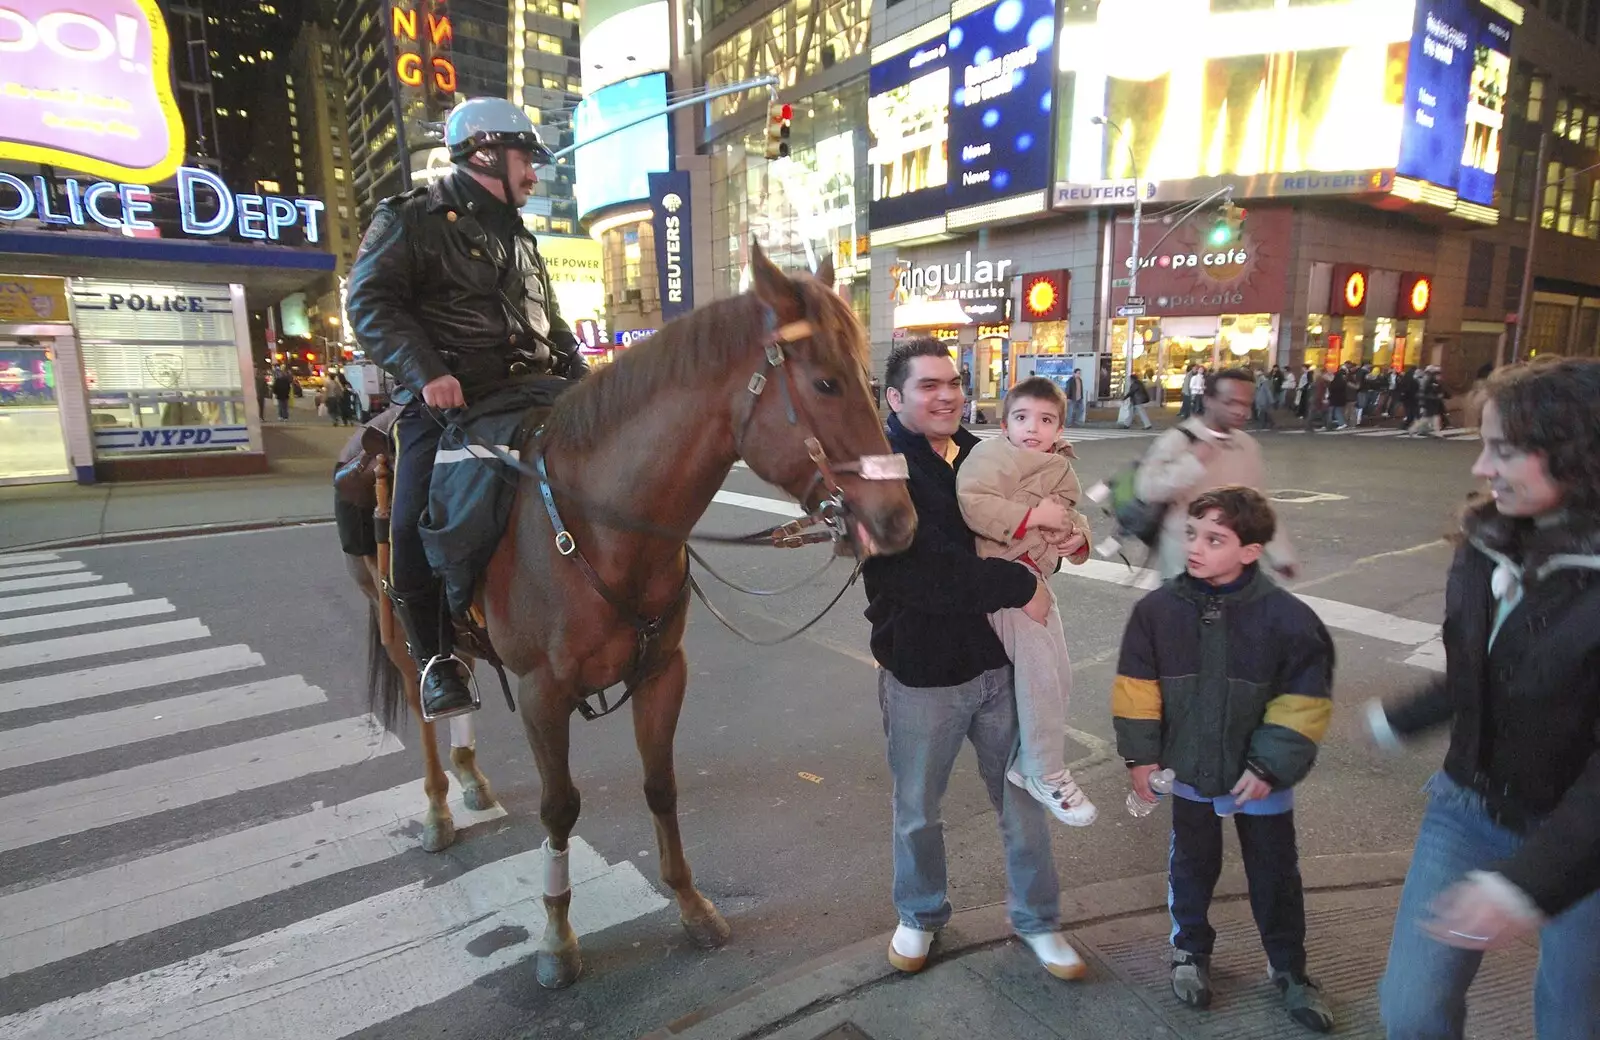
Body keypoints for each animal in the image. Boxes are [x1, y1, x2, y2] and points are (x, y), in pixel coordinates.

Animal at [352, 246, 921, 985]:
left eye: (871, 382)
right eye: (825, 383)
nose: (898, 520)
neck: (601, 526)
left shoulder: (661, 674)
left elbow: (661, 786)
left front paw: (690, 904)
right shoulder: (541, 695)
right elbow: (560, 809)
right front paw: (556, 935)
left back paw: (472, 777)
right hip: (398, 628)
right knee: (425, 703)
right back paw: (438, 806)